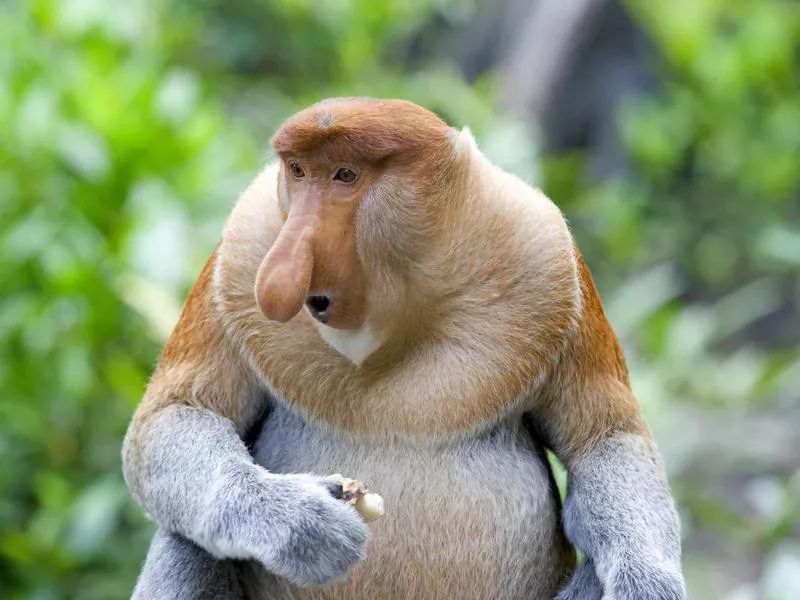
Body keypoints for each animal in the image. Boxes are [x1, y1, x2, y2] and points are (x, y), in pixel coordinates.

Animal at [122, 98, 684, 600]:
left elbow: (605, 439)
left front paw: (647, 584)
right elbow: (174, 416)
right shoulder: (241, 250)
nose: (278, 276)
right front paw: (301, 522)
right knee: (187, 538)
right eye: (298, 172)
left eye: (345, 175)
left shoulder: (548, 254)